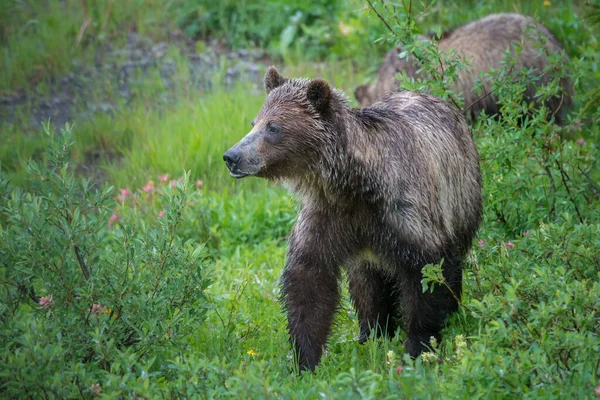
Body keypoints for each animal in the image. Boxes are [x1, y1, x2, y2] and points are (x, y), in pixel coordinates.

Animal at [224, 66, 482, 372]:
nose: (232, 156)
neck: (353, 186)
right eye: (254, 122)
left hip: (461, 198)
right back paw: (372, 332)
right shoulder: (327, 216)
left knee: (453, 263)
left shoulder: (404, 212)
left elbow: (427, 273)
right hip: (366, 255)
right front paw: (304, 359)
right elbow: (308, 280)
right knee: (366, 286)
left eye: (273, 127)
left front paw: (418, 345)